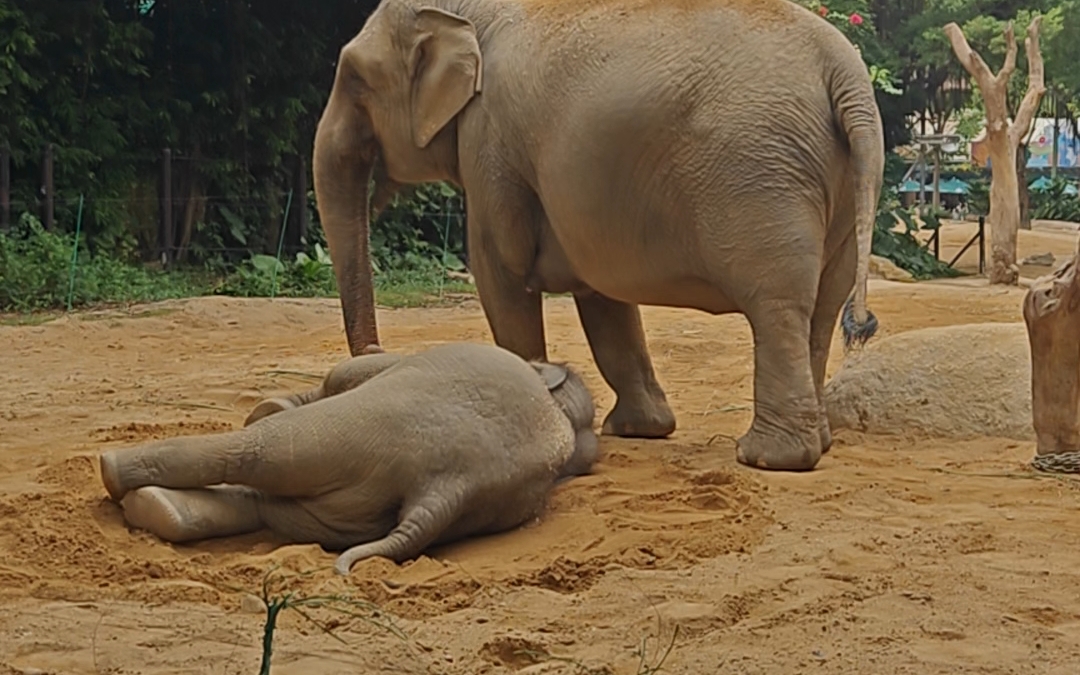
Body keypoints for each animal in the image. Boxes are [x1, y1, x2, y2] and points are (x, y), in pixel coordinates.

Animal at [100, 341, 600, 574]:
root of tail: (446, 488)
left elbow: (347, 372)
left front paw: (268, 406)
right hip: (358, 504)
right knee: (271, 507)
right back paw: (154, 509)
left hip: (359, 427)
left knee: (260, 450)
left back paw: (112, 470)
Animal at [311, 0, 885, 470]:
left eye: (355, 78)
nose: (374, 354)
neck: (471, 11)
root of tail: (845, 73)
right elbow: (602, 298)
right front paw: (638, 431)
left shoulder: (491, 141)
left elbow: (502, 272)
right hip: (840, 180)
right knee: (821, 310)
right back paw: (818, 443)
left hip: (762, 176)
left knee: (778, 305)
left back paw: (769, 458)